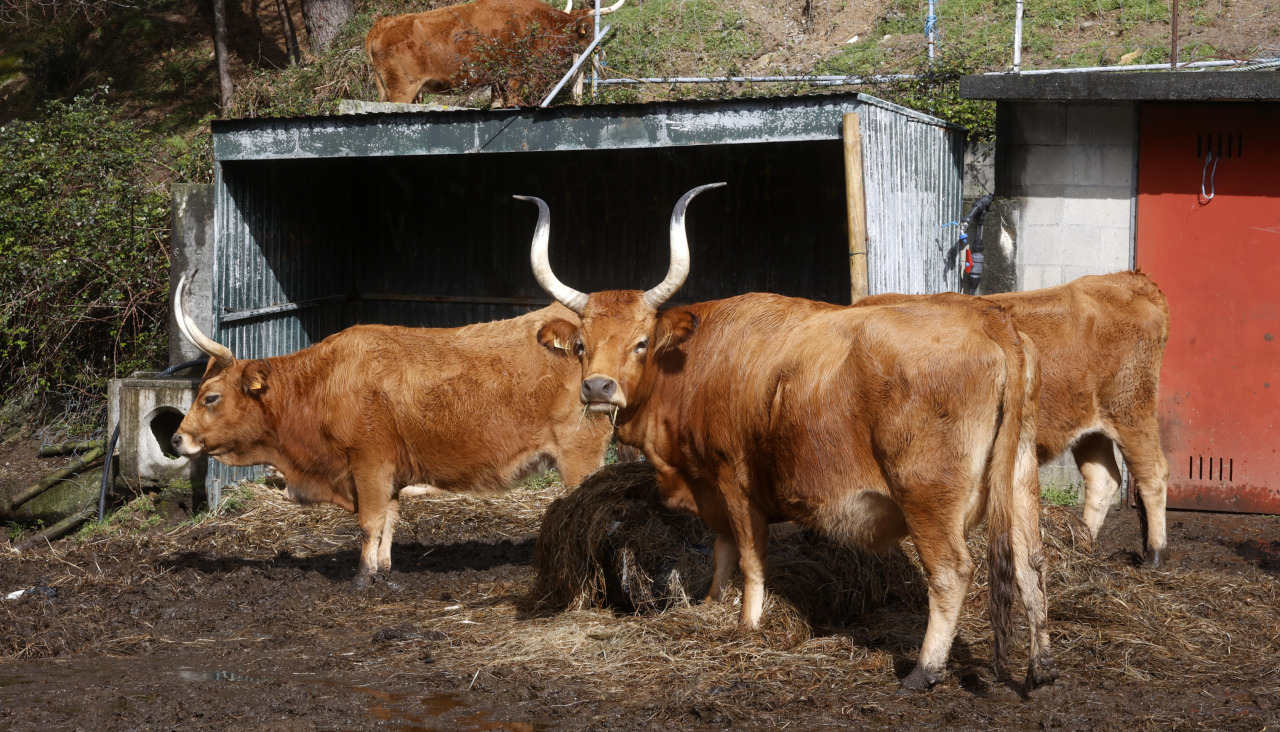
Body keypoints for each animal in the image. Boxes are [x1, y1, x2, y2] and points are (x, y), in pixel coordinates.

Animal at [169, 275, 613, 587]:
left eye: (210, 396)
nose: (176, 438)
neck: (322, 384)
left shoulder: (369, 464)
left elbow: (370, 521)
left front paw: (363, 576)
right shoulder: (390, 474)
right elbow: (389, 520)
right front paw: (382, 566)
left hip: (579, 456)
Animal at [365, 0, 623, 107]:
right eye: (588, 32)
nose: (599, 49)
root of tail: (382, 23)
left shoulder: (497, 80)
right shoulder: (517, 76)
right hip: (402, 89)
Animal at [520, 185, 1056, 691]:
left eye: (642, 342)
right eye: (582, 346)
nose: (598, 388)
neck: (694, 363)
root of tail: (988, 317)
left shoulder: (734, 481)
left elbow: (750, 557)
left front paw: (747, 623)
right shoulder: (712, 488)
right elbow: (722, 552)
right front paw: (712, 604)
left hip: (926, 493)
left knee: (950, 572)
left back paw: (924, 670)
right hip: (1020, 478)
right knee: (1031, 563)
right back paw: (1041, 668)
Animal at [859, 272, 1172, 565]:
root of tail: (1128, 279)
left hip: (1131, 410)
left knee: (1153, 475)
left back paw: (1155, 554)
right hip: (1091, 426)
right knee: (1102, 479)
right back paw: (1084, 544)